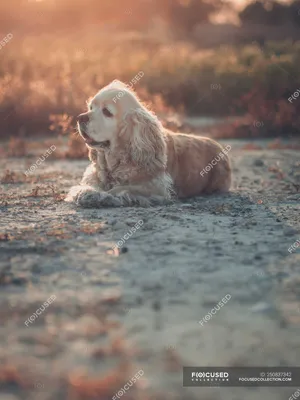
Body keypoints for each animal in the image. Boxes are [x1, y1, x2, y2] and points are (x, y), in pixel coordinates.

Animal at [65, 79, 232, 208]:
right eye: (90, 108)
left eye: (107, 112)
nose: (80, 118)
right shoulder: (95, 175)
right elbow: (89, 185)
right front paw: (87, 192)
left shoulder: (156, 186)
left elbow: (122, 188)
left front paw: (103, 196)